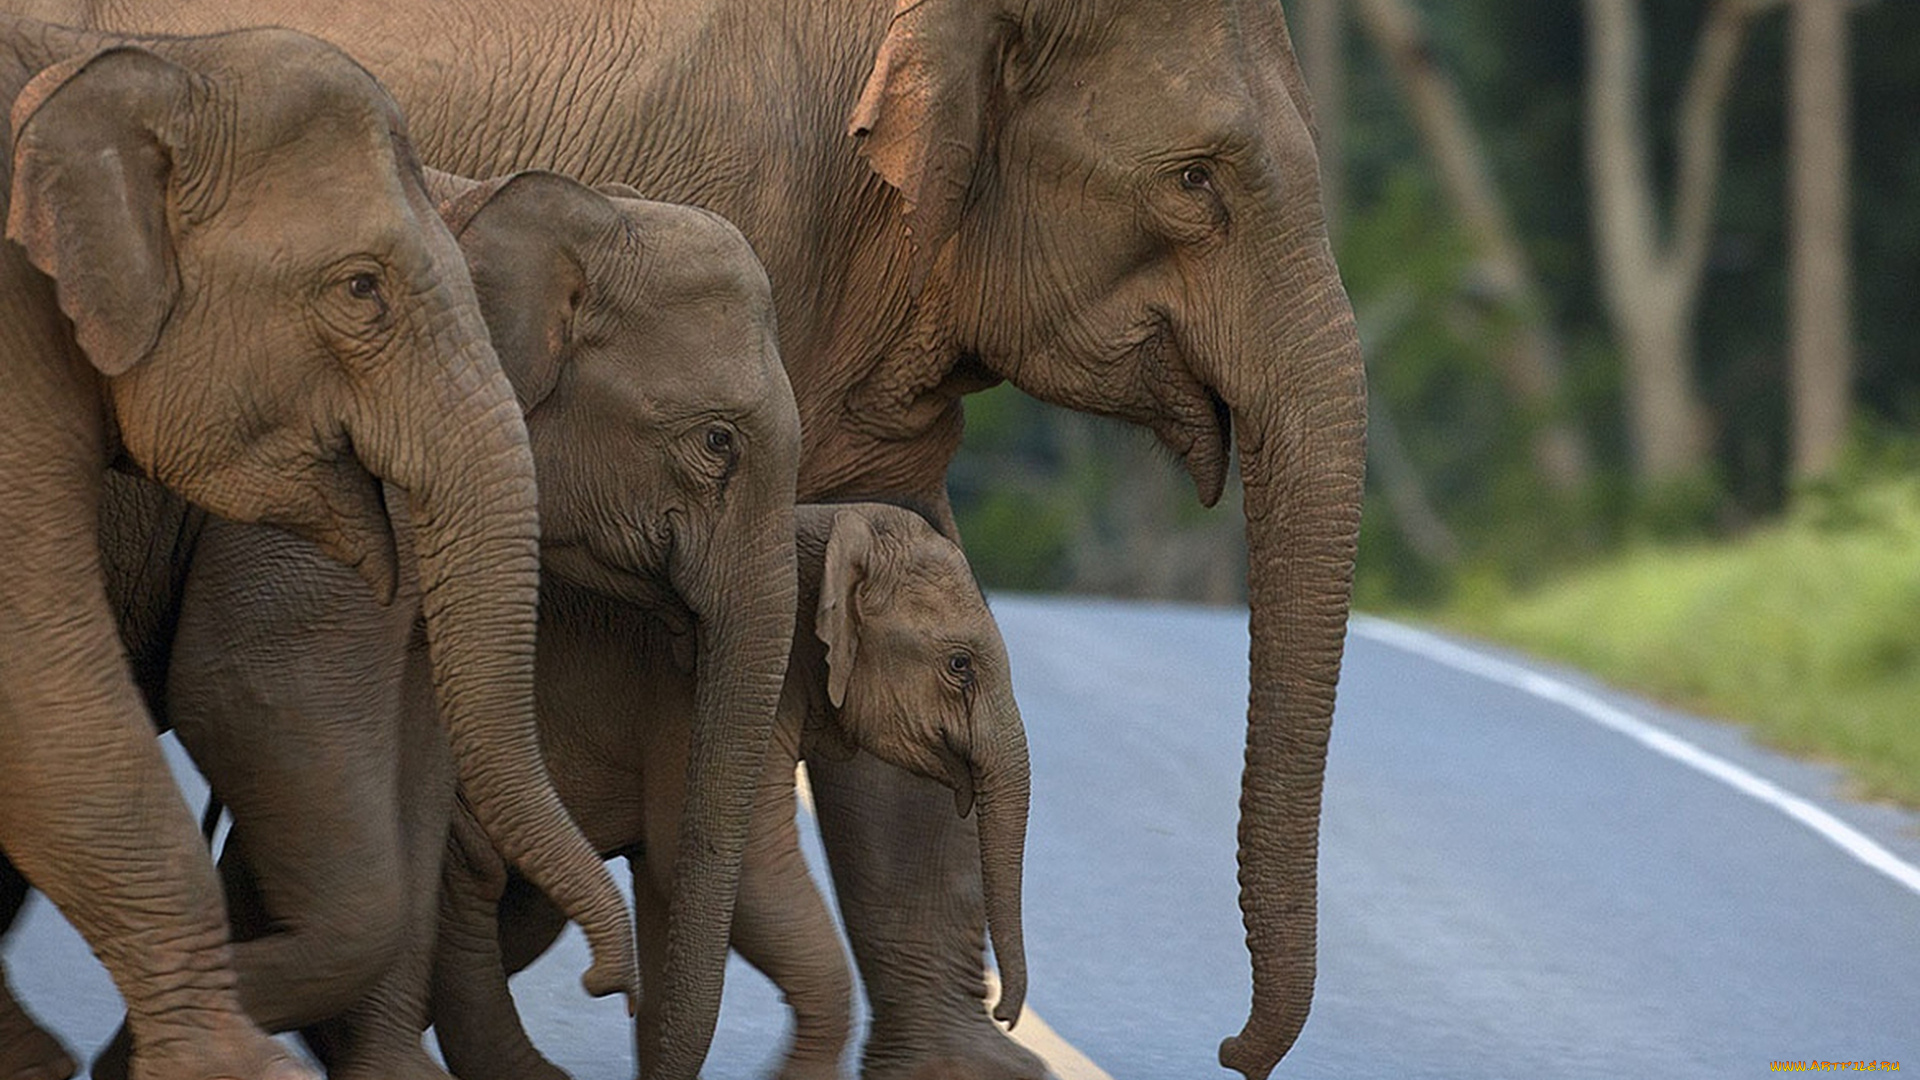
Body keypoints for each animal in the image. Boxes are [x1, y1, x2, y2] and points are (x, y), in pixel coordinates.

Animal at [0, 167, 801, 1080]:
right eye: (717, 442)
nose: (610, 986)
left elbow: (420, 752)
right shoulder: (316, 462)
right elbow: (244, 687)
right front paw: (161, 1047)